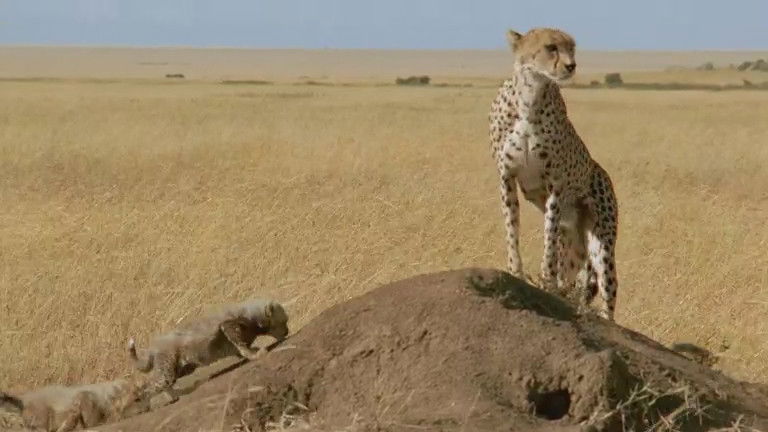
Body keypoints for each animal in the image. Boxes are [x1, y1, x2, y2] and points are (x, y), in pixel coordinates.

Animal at [488, 27, 619, 320]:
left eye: (572, 48)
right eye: (551, 47)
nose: (571, 65)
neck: (530, 96)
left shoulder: (555, 184)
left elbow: (548, 233)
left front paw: (546, 278)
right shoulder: (506, 177)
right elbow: (511, 228)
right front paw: (515, 271)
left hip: (601, 243)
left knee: (607, 289)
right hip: (574, 247)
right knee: (574, 280)